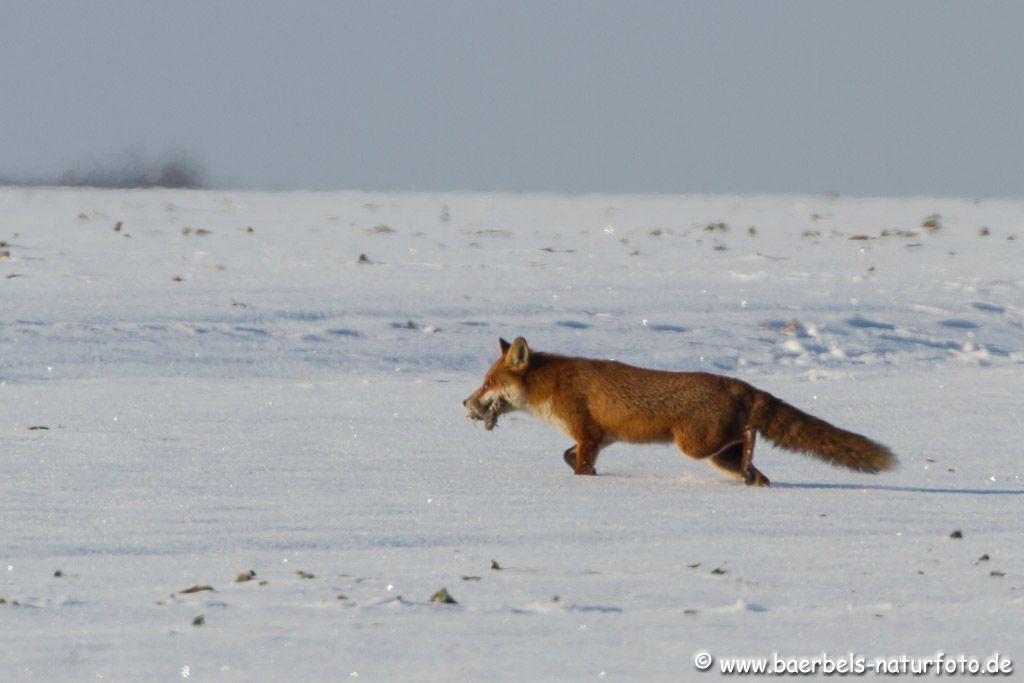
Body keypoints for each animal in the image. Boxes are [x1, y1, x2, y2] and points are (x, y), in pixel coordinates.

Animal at [464, 335, 897, 485]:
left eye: (485, 384)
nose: (465, 403)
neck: (551, 387)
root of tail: (741, 385)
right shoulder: (601, 437)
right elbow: (569, 456)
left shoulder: (587, 433)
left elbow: (580, 464)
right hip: (717, 457)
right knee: (758, 473)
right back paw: (752, 478)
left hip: (693, 446)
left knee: (749, 435)